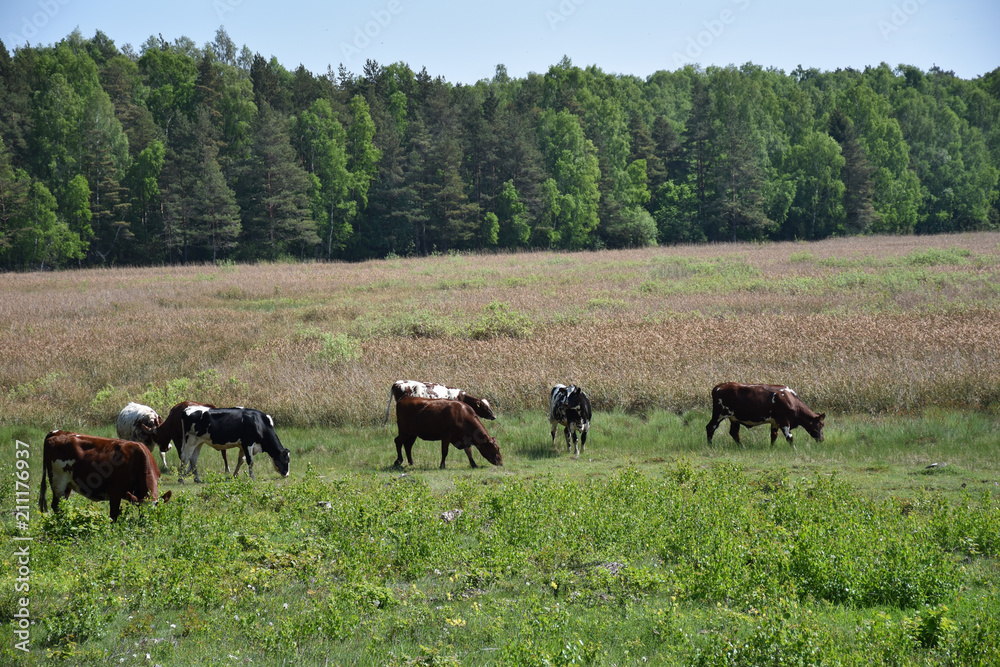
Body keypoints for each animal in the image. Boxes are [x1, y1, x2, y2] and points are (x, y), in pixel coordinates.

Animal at [39, 434, 171, 520]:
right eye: (141, 510)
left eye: (156, 511)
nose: (147, 524)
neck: (136, 459)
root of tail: (58, 433)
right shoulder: (115, 492)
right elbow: (113, 515)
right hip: (58, 482)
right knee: (56, 506)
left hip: (67, 485)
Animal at [152, 404, 292, 482]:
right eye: (286, 460)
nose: (287, 474)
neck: (258, 422)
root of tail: (188, 408)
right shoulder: (248, 443)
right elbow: (250, 461)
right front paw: (252, 477)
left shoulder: (242, 445)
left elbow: (241, 460)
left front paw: (235, 475)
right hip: (190, 440)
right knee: (185, 458)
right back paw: (181, 479)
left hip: (198, 442)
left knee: (193, 459)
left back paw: (197, 479)